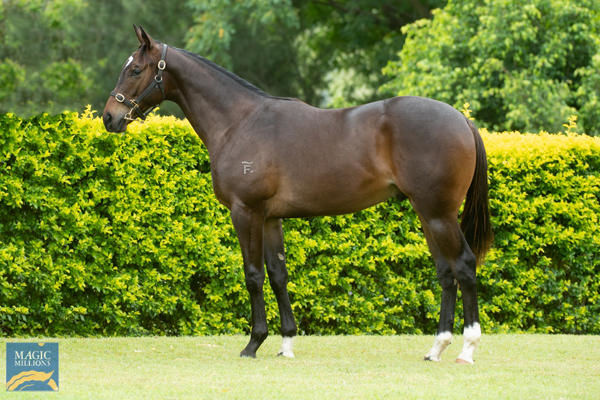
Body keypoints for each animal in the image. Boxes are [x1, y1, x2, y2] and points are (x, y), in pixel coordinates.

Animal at [103, 25, 492, 362]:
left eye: (135, 69)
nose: (109, 117)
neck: (240, 122)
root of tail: (461, 118)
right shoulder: (270, 218)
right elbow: (278, 274)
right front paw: (286, 343)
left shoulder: (246, 212)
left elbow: (253, 275)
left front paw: (253, 343)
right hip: (428, 215)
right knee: (445, 273)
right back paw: (436, 348)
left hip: (439, 214)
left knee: (464, 265)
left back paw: (467, 349)